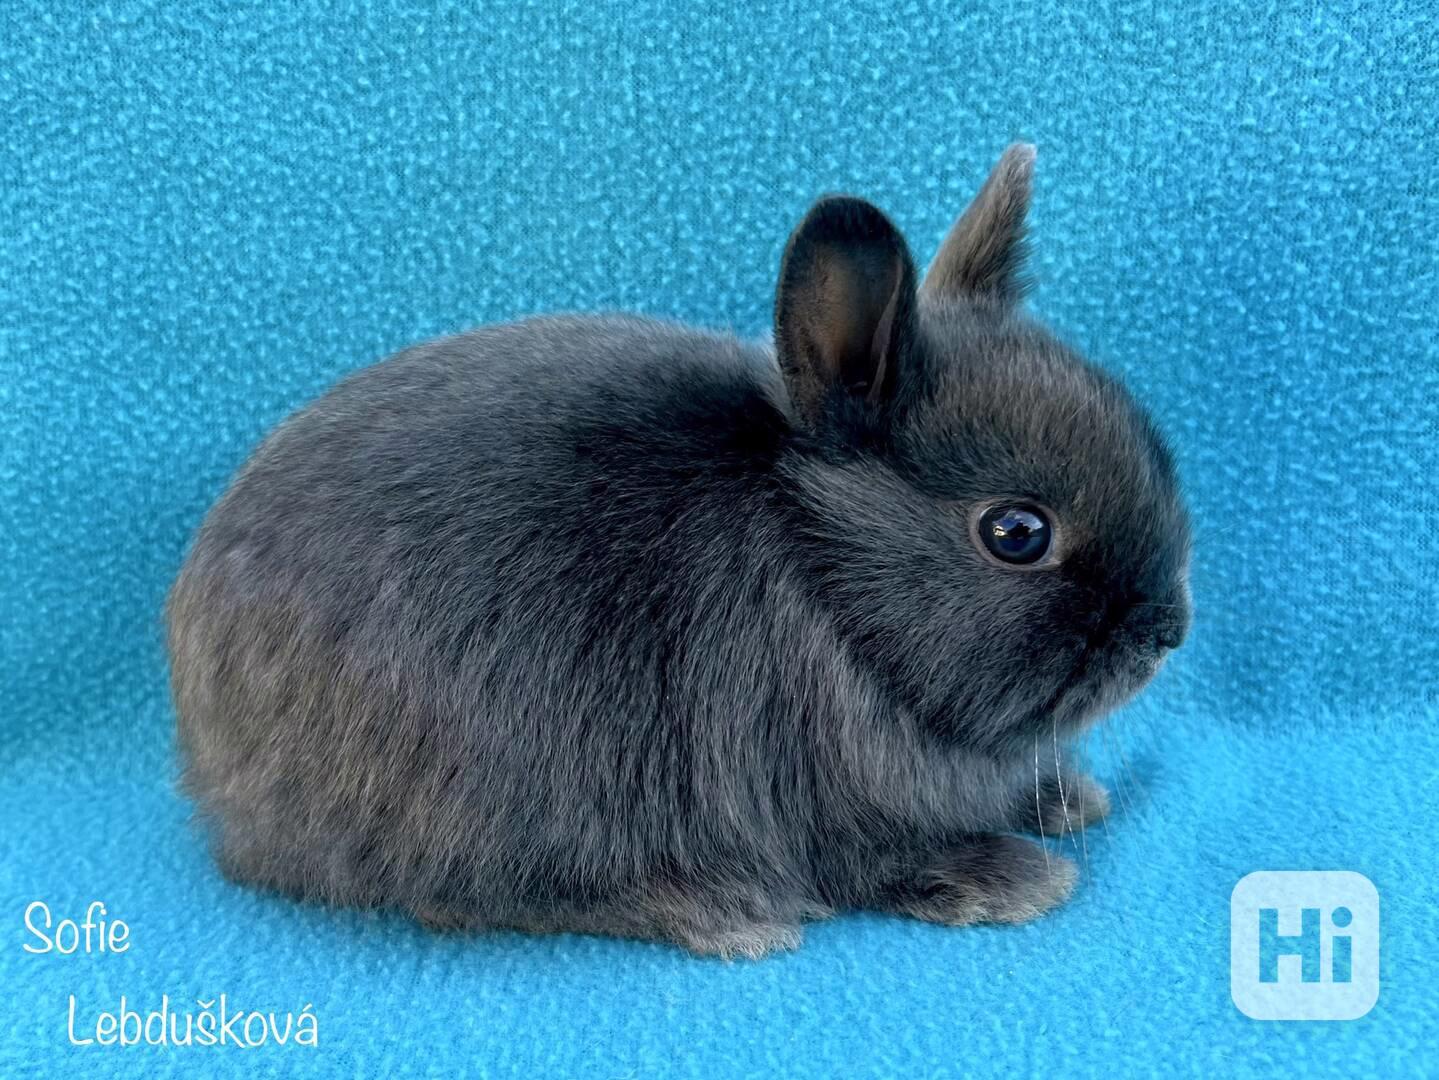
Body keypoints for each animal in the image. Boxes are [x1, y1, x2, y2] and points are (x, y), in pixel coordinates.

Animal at [167, 143, 1191, 959]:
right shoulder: (813, 796)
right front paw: (1012, 879)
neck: (823, 585)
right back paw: (720, 910)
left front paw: (1067, 799)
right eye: (1015, 533)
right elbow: (878, 859)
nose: (1165, 633)